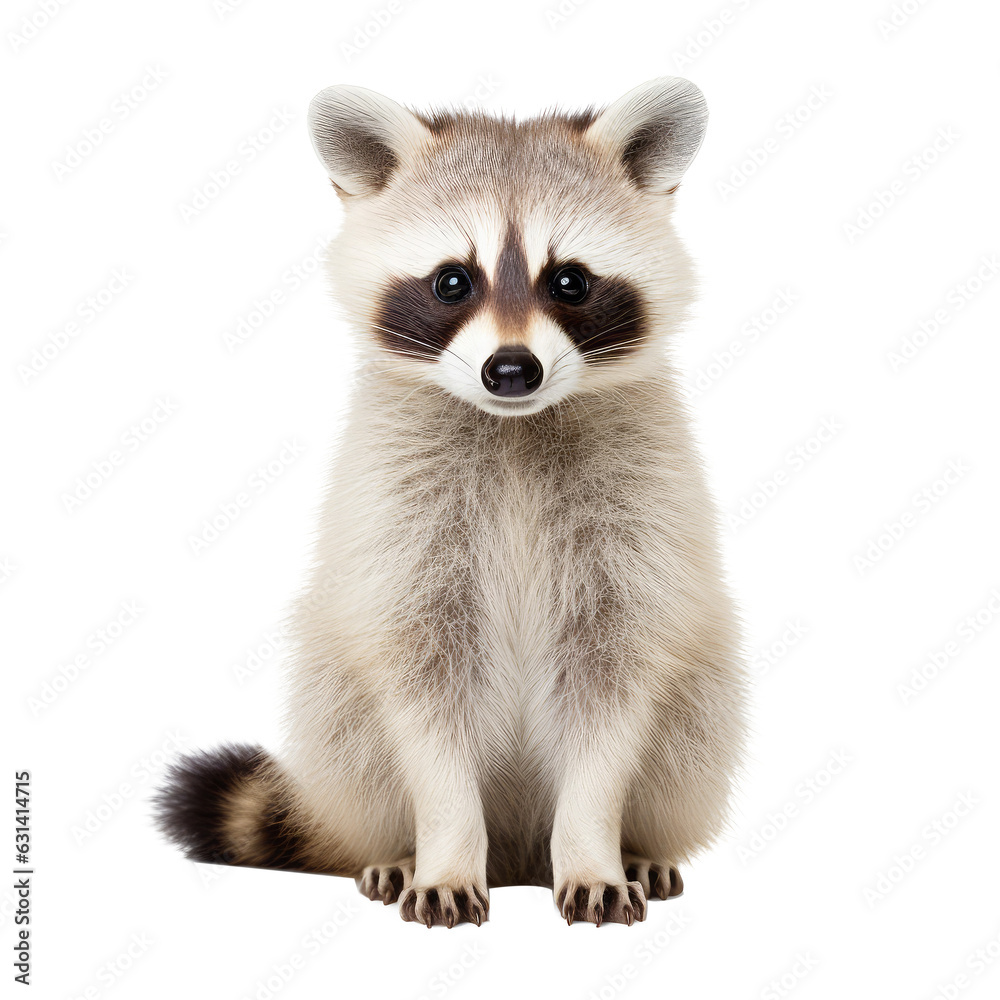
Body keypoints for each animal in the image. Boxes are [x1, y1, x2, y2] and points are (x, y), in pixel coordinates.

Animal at [155, 77, 746, 927]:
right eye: (452, 281)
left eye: (569, 281)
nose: (512, 369)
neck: (516, 426)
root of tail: (520, 854)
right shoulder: (401, 530)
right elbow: (419, 696)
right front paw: (441, 850)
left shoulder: (638, 534)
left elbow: (617, 690)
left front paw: (596, 846)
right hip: (334, 702)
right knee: (351, 724)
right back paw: (397, 851)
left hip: (703, 698)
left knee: (691, 719)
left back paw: (638, 847)